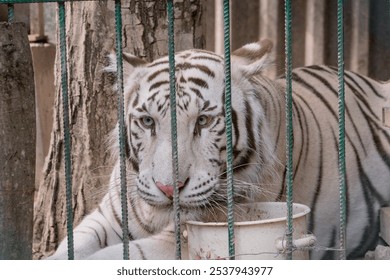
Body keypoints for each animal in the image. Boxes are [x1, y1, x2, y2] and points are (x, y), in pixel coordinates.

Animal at [48, 39, 390, 260]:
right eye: (147, 121)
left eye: (203, 120)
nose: (169, 189)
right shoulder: (107, 217)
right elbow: (69, 248)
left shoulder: (186, 237)